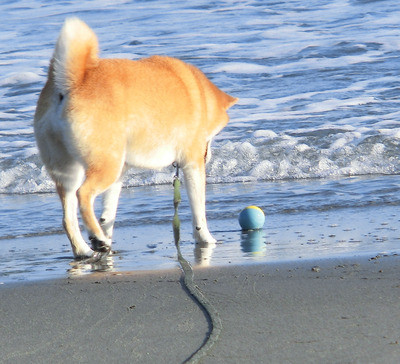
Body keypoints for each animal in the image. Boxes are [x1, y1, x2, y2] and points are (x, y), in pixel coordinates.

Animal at [33, 18, 238, 258]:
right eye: (211, 137)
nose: (209, 156)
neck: (200, 95)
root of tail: (72, 82)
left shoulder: (120, 174)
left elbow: (108, 214)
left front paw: (106, 235)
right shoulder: (192, 165)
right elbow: (199, 213)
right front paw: (206, 239)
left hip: (71, 172)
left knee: (68, 218)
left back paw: (88, 248)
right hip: (105, 165)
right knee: (83, 195)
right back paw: (96, 237)